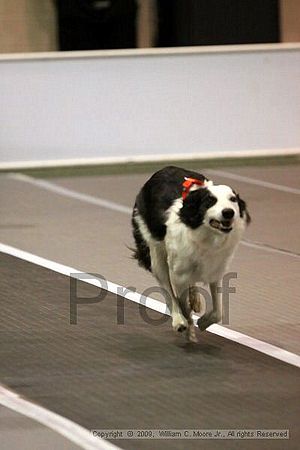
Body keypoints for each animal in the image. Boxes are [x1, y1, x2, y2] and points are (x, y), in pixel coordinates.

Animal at [131, 165, 251, 342]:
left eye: (233, 199)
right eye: (210, 201)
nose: (228, 212)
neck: (205, 237)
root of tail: (163, 168)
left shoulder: (215, 270)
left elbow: (218, 311)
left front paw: (203, 322)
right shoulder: (178, 275)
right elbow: (181, 303)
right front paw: (188, 329)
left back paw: (194, 299)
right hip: (156, 254)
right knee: (167, 290)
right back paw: (178, 320)